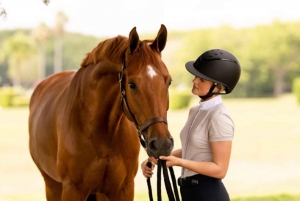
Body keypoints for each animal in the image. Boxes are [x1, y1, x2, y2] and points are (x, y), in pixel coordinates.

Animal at [28, 24, 173, 200]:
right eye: (131, 84)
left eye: (168, 81)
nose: (162, 144)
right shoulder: (72, 190)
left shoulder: (123, 188)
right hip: (52, 185)